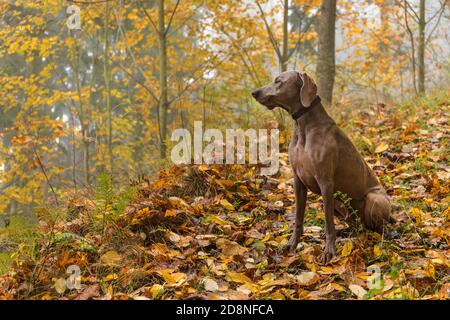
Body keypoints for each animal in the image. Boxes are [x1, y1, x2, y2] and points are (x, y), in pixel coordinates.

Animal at [251, 71, 392, 264]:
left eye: (279, 81)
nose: (254, 92)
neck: (304, 127)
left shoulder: (325, 182)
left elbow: (328, 224)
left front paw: (329, 252)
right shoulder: (298, 180)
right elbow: (298, 218)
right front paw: (292, 244)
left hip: (373, 199)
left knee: (379, 226)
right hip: (339, 202)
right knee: (358, 225)